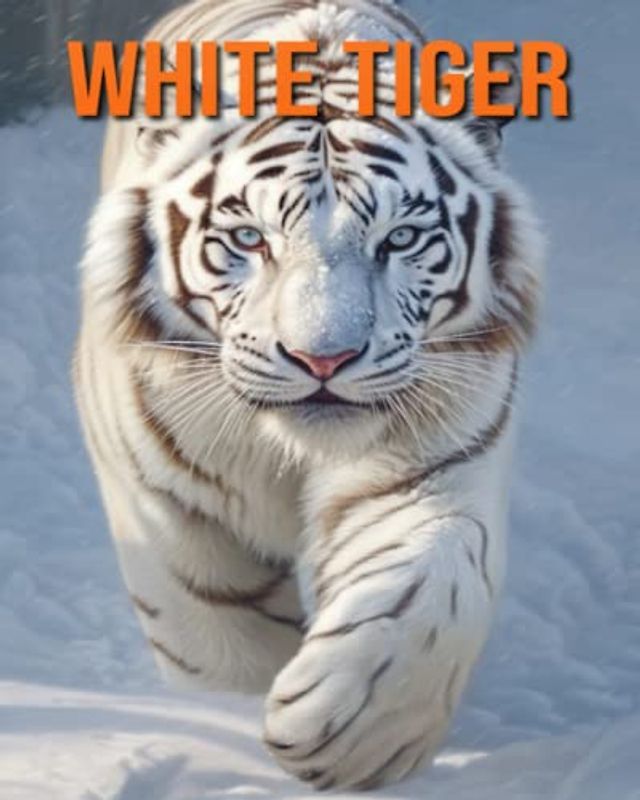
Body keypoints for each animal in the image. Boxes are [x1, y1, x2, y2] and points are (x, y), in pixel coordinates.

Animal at [73, 0, 544, 790]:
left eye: (401, 238)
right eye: (248, 238)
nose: (323, 357)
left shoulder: (435, 461)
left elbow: (435, 582)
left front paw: (353, 735)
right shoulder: (162, 500)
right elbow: (218, 639)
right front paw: (231, 735)